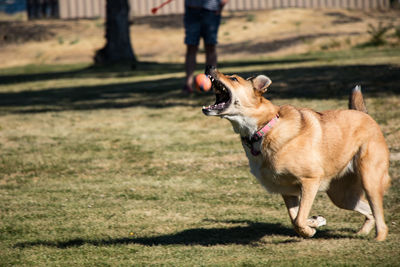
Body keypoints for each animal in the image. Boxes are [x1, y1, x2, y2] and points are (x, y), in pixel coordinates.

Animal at [202, 66, 390, 241]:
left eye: (233, 78)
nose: (210, 67)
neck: (264, 129)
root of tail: (364, 114)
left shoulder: (310, 181)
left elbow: (299, 219)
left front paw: (311, 228)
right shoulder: (287, 189)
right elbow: (295, 219)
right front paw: (315, 222)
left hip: (369, 178)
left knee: (378, 213)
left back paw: (379, 238)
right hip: (342, 195)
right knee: (369, 211)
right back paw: (363, 231)